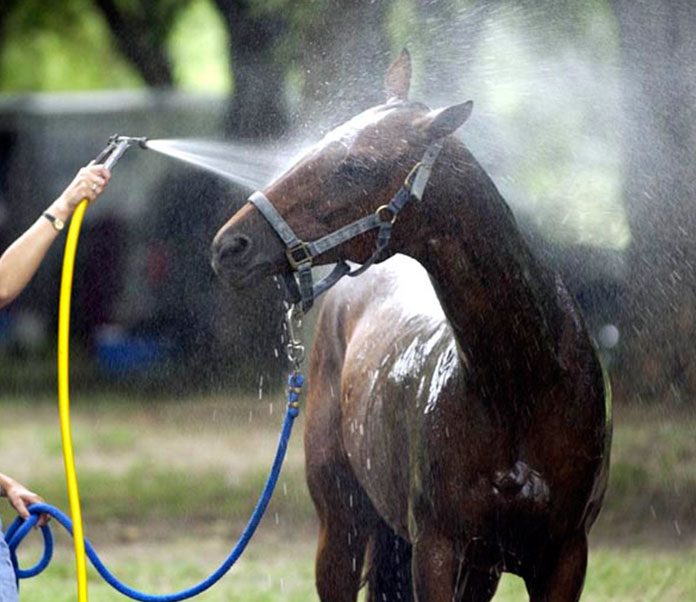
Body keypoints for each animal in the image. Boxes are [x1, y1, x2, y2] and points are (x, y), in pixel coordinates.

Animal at [211, 50, 611, 602]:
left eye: (356, 166)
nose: (230, 246)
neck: (521, 383)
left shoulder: (563, 556)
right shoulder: (437, 550)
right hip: (340, 530)